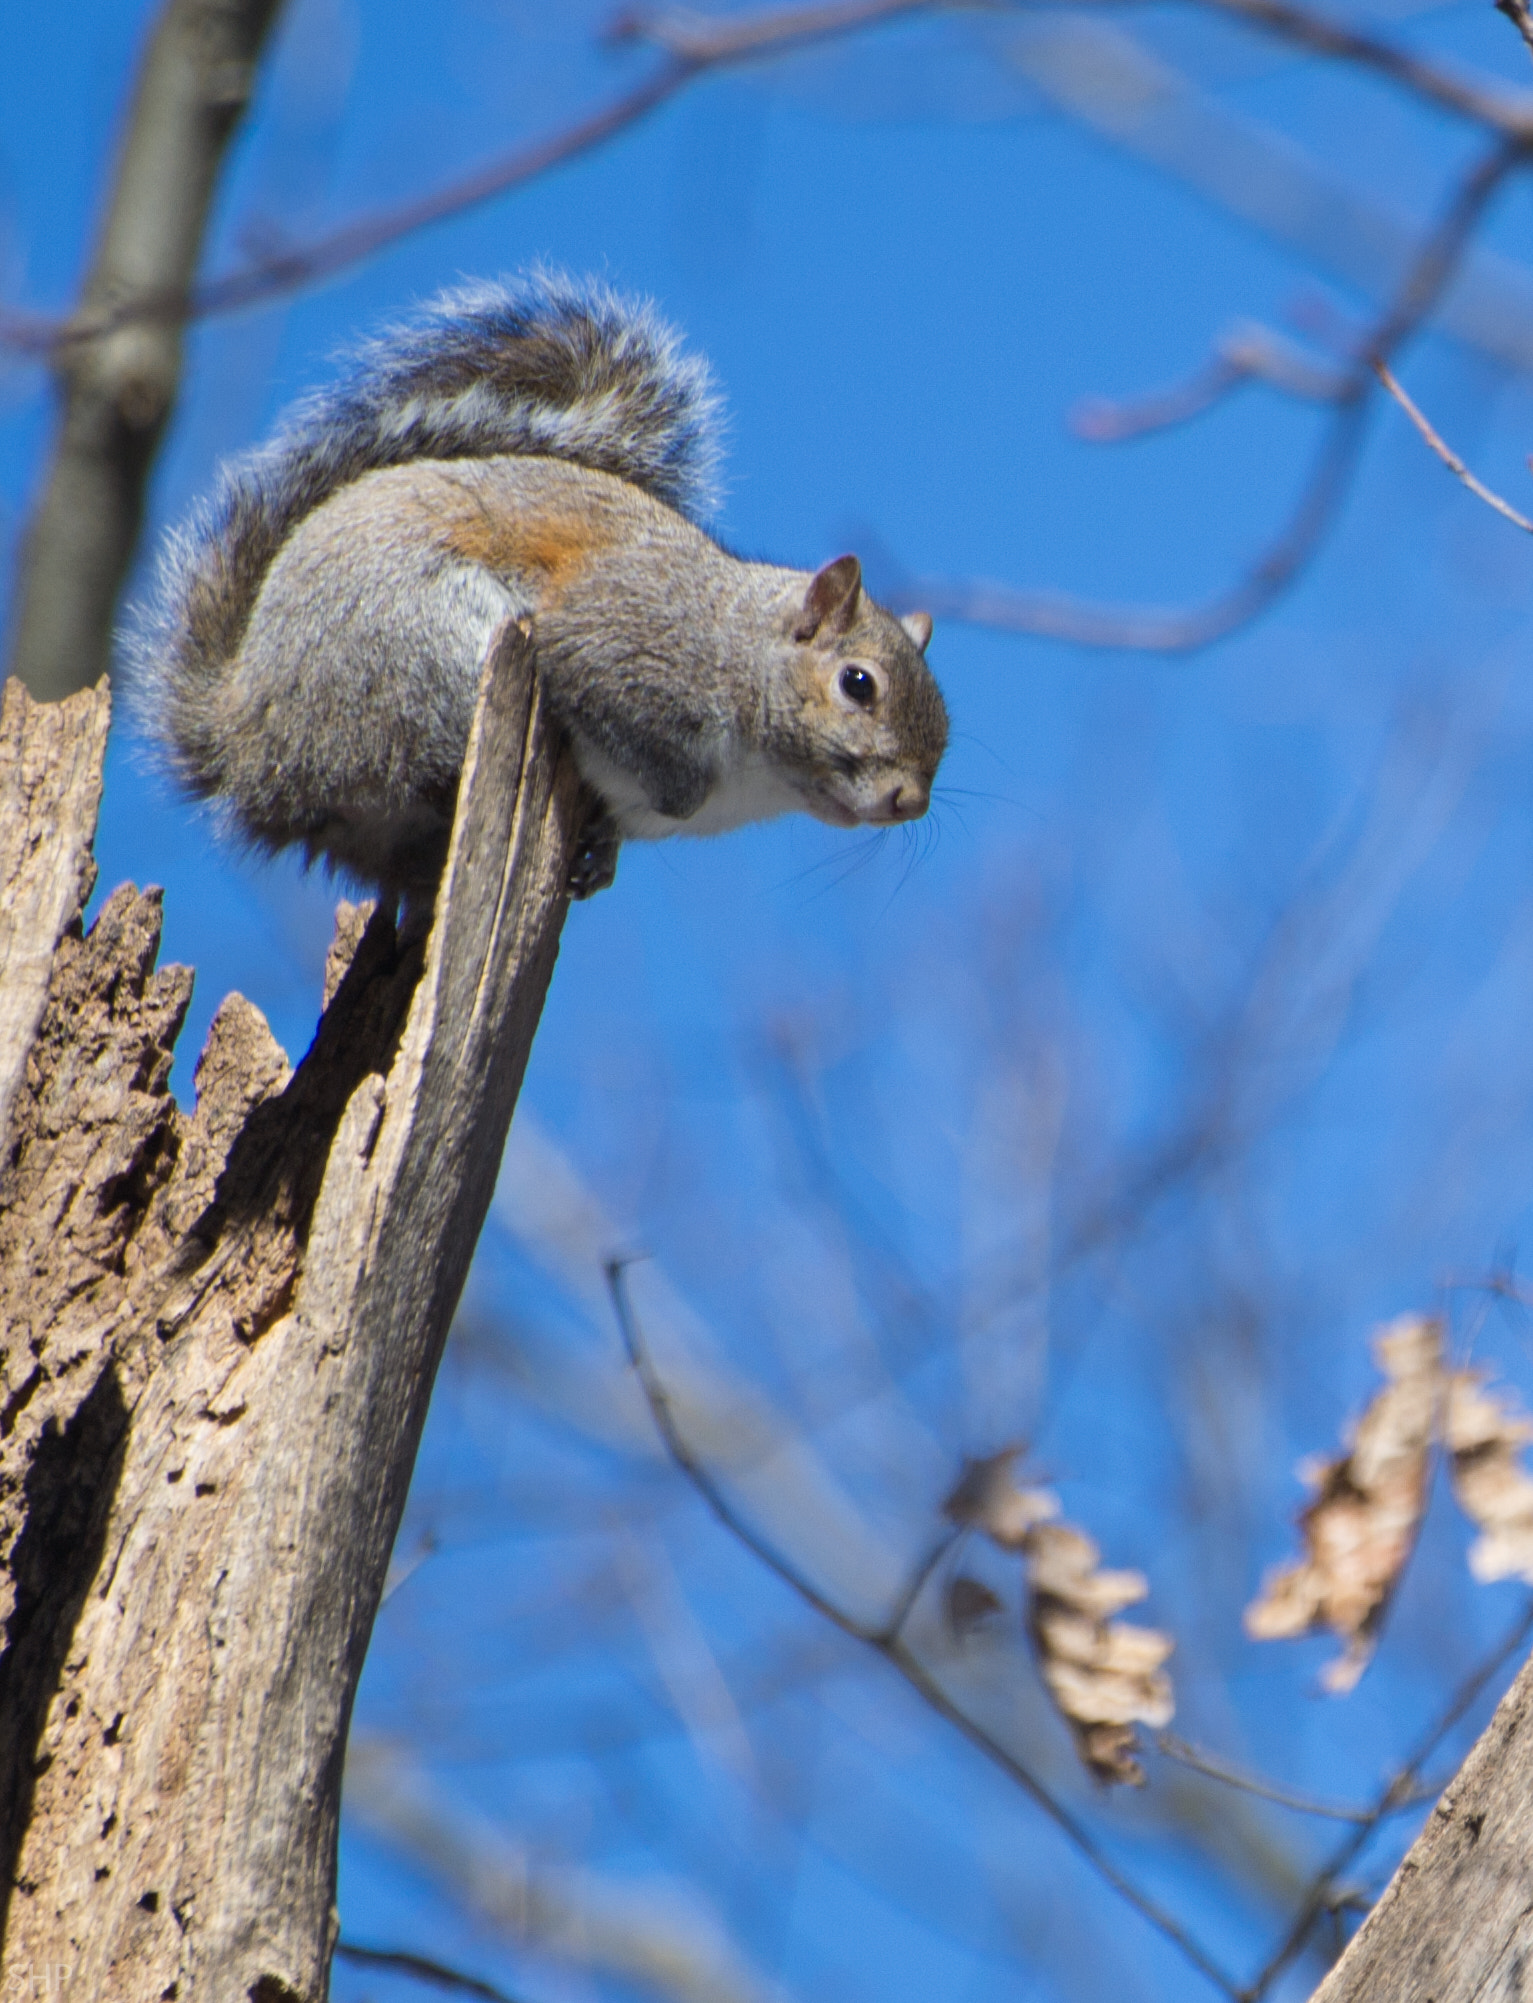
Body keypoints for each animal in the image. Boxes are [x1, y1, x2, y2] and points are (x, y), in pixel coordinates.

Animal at [127, 273, 947, 901]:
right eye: (858, 684)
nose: (910, 802)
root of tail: (245, 739)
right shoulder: (626, 640)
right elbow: (617, 705)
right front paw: (670, 786)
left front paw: (602, 859)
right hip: (420, 649)